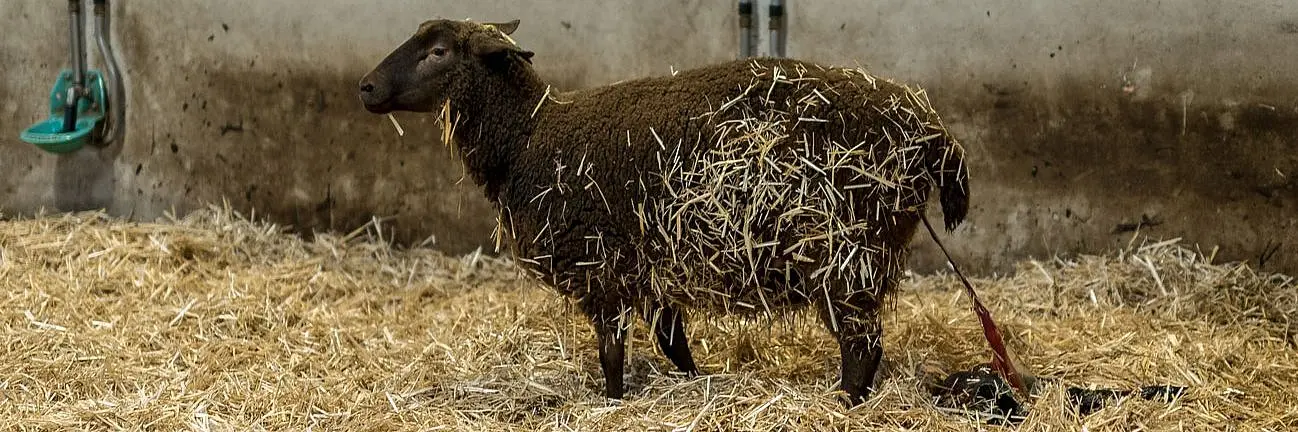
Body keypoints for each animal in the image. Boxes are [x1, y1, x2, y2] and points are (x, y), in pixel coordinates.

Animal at [358, 18, 971, 407]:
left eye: (438, 51)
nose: (365, 87)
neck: (529, 138)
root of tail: (935, 135)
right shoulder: (646, 274)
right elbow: (675, 344)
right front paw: (694, 383)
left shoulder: (600, 272)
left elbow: (611, 356)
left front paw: (612, 404)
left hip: (847, 254)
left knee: (863, 347)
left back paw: (846, 404)